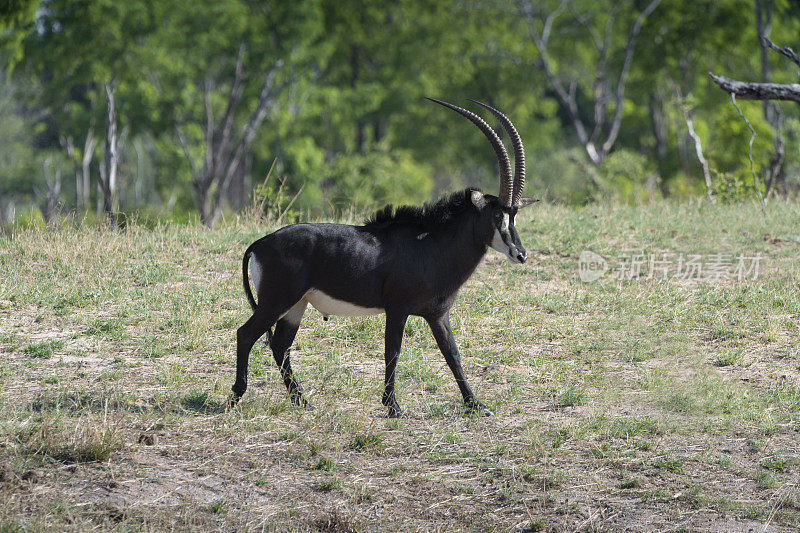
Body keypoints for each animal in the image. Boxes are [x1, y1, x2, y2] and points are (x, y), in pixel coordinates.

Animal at [238, 98, 536, 416]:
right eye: (497, 216)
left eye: (514, 215)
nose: (520, 254)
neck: (431, 244)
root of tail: (259, 244)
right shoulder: (397, 308)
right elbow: (392, 351)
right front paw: (393, 407)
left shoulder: (437, 314)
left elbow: (452, 354)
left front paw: (476, 404)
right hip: (276, 301)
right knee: (246, 334)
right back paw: (237, 395)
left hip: (296, 305)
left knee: (280, 345)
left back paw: (303, 401)